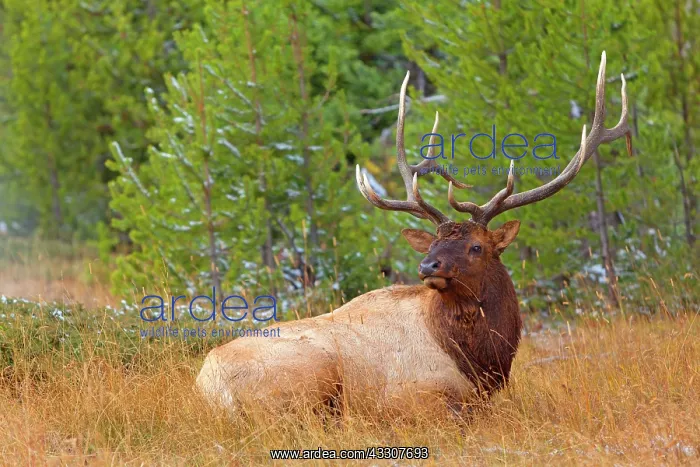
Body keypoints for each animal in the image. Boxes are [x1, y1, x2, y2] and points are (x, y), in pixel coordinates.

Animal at [196, 51, 629, 417]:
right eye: (435, 242)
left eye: (476, 246)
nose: (427, 265)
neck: (480, 360)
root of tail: (210, 387)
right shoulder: (410, 394)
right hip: (312, 373)